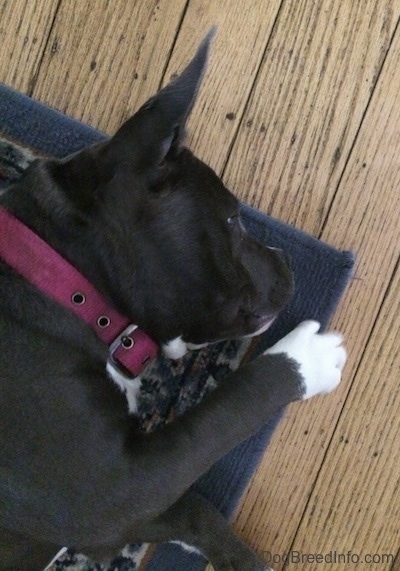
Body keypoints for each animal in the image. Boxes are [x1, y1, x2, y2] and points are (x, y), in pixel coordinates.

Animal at [0, 32, 346, 571]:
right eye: (232, 221)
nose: (285, 257)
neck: (63, 280)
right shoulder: (121, 493)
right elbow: (225, 412)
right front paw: (304, 358)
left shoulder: (126, 514)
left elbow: (194, 510)